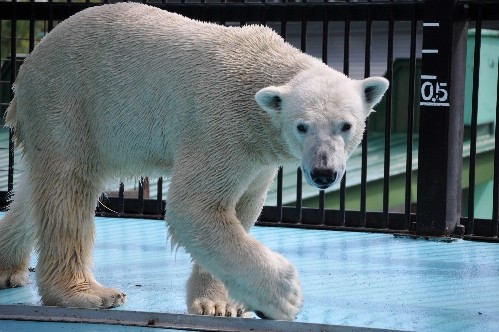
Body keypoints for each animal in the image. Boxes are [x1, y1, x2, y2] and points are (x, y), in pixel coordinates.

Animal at [0, 2, 388, 322]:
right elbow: (196, 207)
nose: (324, 172)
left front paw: (220, 303)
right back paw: (88, 293)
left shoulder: (258, 157)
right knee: (69, 188)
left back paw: (7, 268)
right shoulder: (221, 127)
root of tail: (30, 62)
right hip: (70, 101)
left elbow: (239, 210)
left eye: (346, 125)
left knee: (38, 191)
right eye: (302, 126)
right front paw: (285, 296)